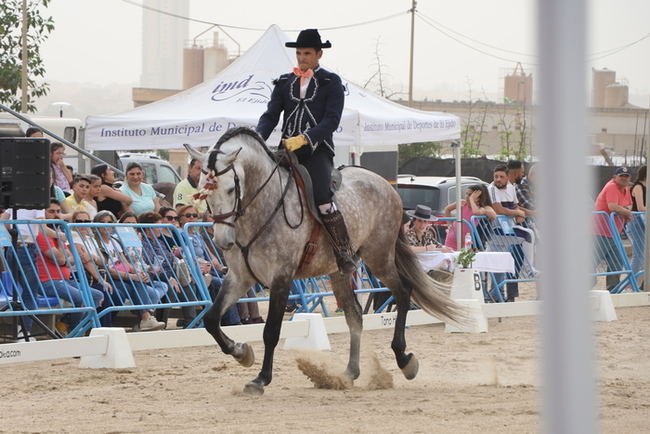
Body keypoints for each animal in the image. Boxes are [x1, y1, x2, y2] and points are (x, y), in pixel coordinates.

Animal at [184, 127, 460, 396]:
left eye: (231, 189)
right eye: (202, 190)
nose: (222, 241)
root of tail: (386, 184)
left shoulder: (281, 278)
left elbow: (271, 331)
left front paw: (261, 379)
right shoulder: (240, 277)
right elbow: (211, 319)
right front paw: (242, 353)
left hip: (379, 257)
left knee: (402, 292)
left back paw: (404, 359)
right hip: (340, 270)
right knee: (354, 314)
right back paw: (349, 373)